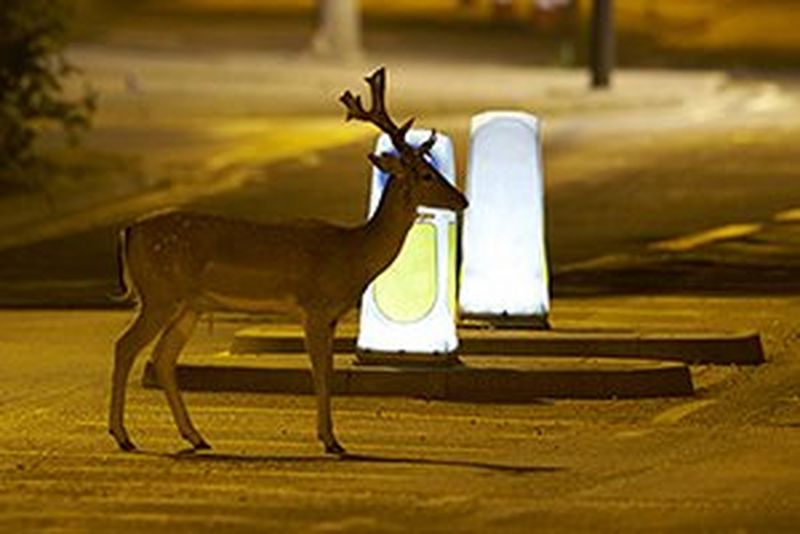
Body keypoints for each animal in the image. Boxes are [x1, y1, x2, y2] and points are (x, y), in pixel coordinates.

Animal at [108, 67, 469, 455]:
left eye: (433, 167)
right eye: (426, 175)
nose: (462, 200)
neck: (352, 254)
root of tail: (129, 230)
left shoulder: (330, 316)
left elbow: (326, 370)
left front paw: (329, 437)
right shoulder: (315, 308)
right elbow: (321, 375)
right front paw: (330, 440)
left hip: (189, 305)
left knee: (163, 358)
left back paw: (195, 436)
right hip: (159, 294)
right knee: (125, 346)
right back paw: (123, 435)